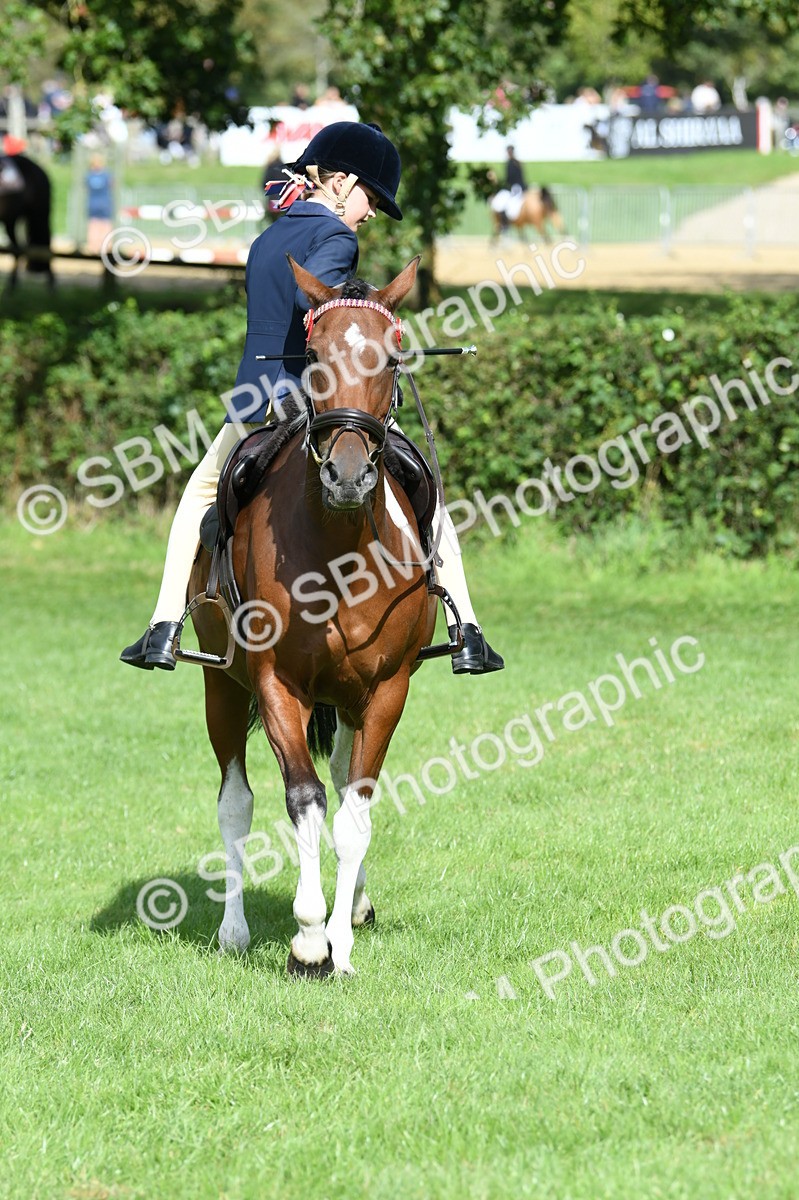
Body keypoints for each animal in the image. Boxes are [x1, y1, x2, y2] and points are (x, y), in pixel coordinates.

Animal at [188, 255, 437, 977]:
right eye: (315, 357)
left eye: (390, 358)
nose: (348, 476)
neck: (340, 549)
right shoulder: (276, 685)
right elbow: (302, 799)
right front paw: (306, 935)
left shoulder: (386, 690)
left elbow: (355, 811)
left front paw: (340, 942)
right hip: (221, 688)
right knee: (235, 803)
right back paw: (235, 931)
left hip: (350, 701)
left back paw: (352, 906)